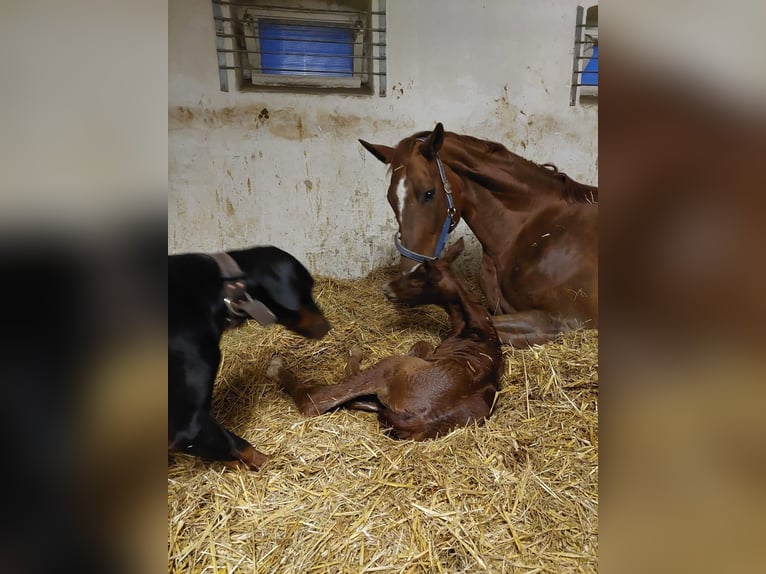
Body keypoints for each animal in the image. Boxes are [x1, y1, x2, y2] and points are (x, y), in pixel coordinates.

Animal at [268, 238, 504, 440]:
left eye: (416, 280)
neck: (476, 327)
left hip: (391, 366)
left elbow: (421, 344)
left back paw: (277, 367)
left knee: (318, 399)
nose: (387, 288)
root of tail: (424, 418)